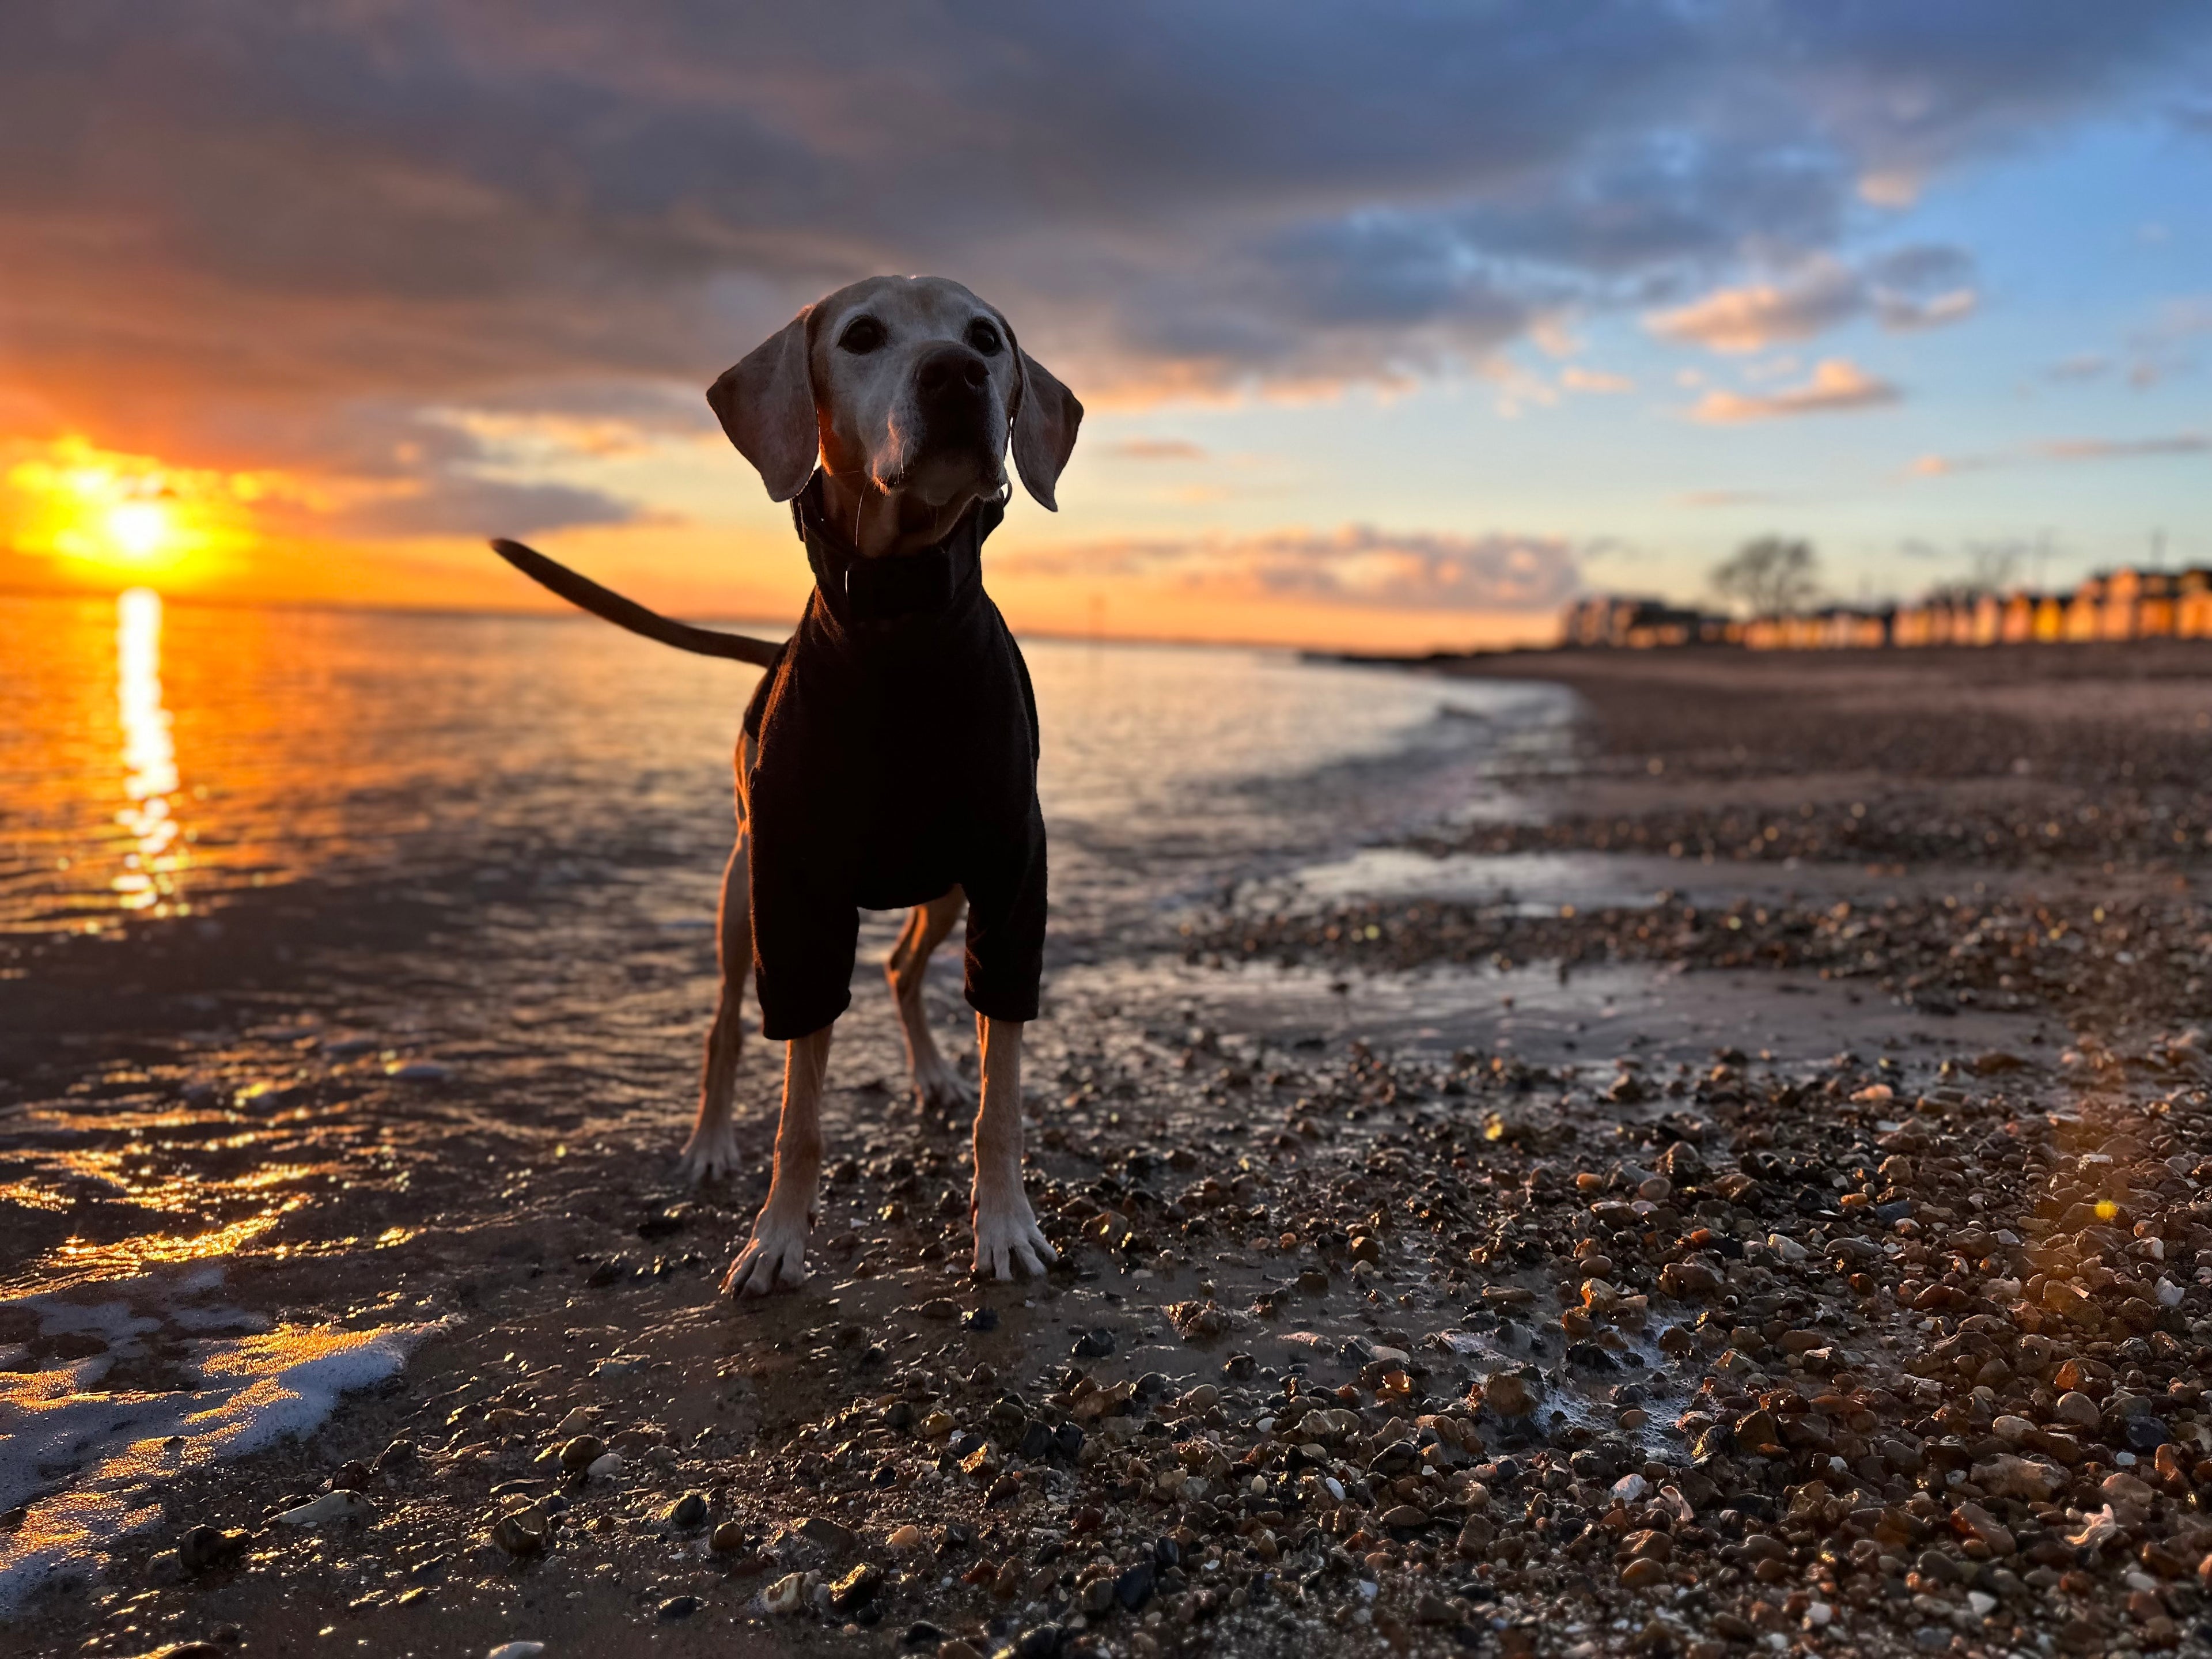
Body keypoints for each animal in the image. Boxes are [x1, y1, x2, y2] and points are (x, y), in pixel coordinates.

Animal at [504, 279, 1088, 1300]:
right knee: (726, 1028)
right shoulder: (798, 891)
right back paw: (709, 1143)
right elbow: (799, 1116)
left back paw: (935, 1074)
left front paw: (1007, 1224)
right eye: (861, 337)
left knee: (901, 968)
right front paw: (775, 1237)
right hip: (743, 894)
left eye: (986, 338)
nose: (956, 373)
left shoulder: (1010, 874)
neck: (899, 618)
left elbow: (1003, 1098)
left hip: (943, 889)